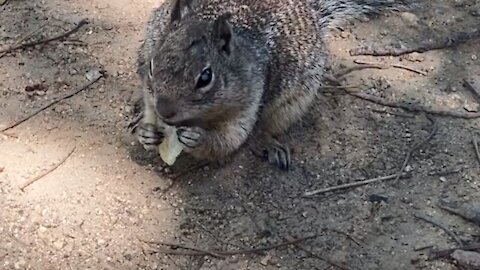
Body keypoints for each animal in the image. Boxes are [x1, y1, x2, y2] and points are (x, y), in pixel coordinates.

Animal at [131, 0, 412, 170]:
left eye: (205, 77)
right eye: (153, 65)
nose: (165, 111)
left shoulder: (247, 104)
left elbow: (229, 140)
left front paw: (196, 138)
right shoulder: (149, 90)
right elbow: (148, 107)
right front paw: (147, 132)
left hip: (293, 102)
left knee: (266, 127)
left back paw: (270, 145)